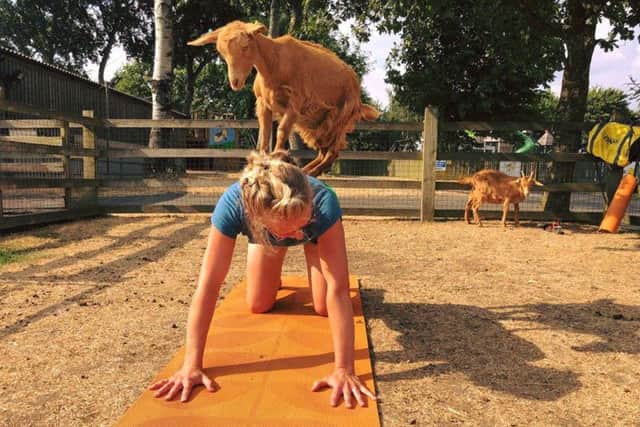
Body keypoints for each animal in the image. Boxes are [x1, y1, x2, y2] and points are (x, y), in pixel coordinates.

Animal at [188, 21, 380, 176]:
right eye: (222, 52)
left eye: (245, 47)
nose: (235, 82)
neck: (274, 63)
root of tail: (357, 93)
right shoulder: (263, 104)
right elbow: (265, 134)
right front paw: (263, 158)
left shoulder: (295, 104)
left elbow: (281, 131)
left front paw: (277, 157)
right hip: (317, 125)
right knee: (324, 152)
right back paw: (306, 171)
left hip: (337, 120)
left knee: (332, 153)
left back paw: (309, 172)